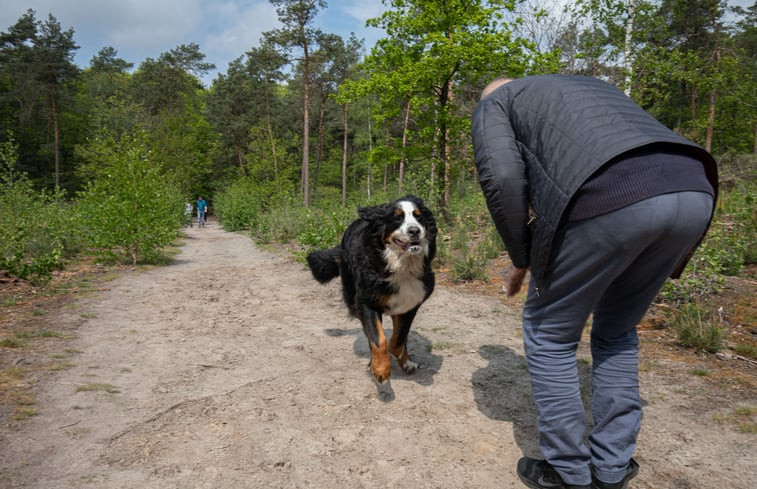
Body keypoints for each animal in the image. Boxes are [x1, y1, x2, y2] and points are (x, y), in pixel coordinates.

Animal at [306, 195, 438, 386]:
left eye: (418, 216)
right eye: (397, 217)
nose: (414, 231)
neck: (402, 267)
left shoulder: (410, 304)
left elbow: (398, 339)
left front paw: (402, 359)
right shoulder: (367, 303)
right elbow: (378, 339)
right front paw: (380, 369)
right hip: (352, 293)